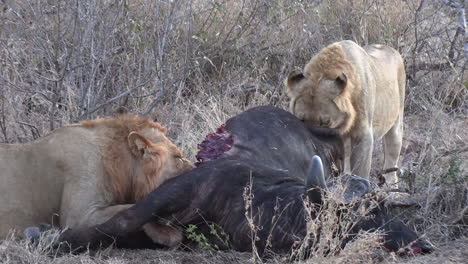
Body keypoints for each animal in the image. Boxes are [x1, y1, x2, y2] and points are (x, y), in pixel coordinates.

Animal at [286, 40, 406, 187]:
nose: (314, 145)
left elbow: (361, 170)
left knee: (392, 159)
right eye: (301, 120)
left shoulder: (364, 137)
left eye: (325, 122)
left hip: (396, 124)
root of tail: (391, 49)